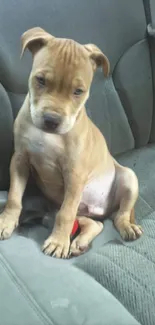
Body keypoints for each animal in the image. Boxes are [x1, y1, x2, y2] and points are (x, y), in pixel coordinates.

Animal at [0, 27, 142, 256]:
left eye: (78, 92)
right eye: (40, 80)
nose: (51, 120)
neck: (48, 136)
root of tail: (104, 211)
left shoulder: (75, 175)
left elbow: (65, 215)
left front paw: (58, 242)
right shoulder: (20, 160)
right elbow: (14, 197)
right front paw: (6, 221)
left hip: (128, 178)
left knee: (120, 215)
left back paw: (127, 228)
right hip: (72, 206)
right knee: (96, 223)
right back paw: (80, 242)